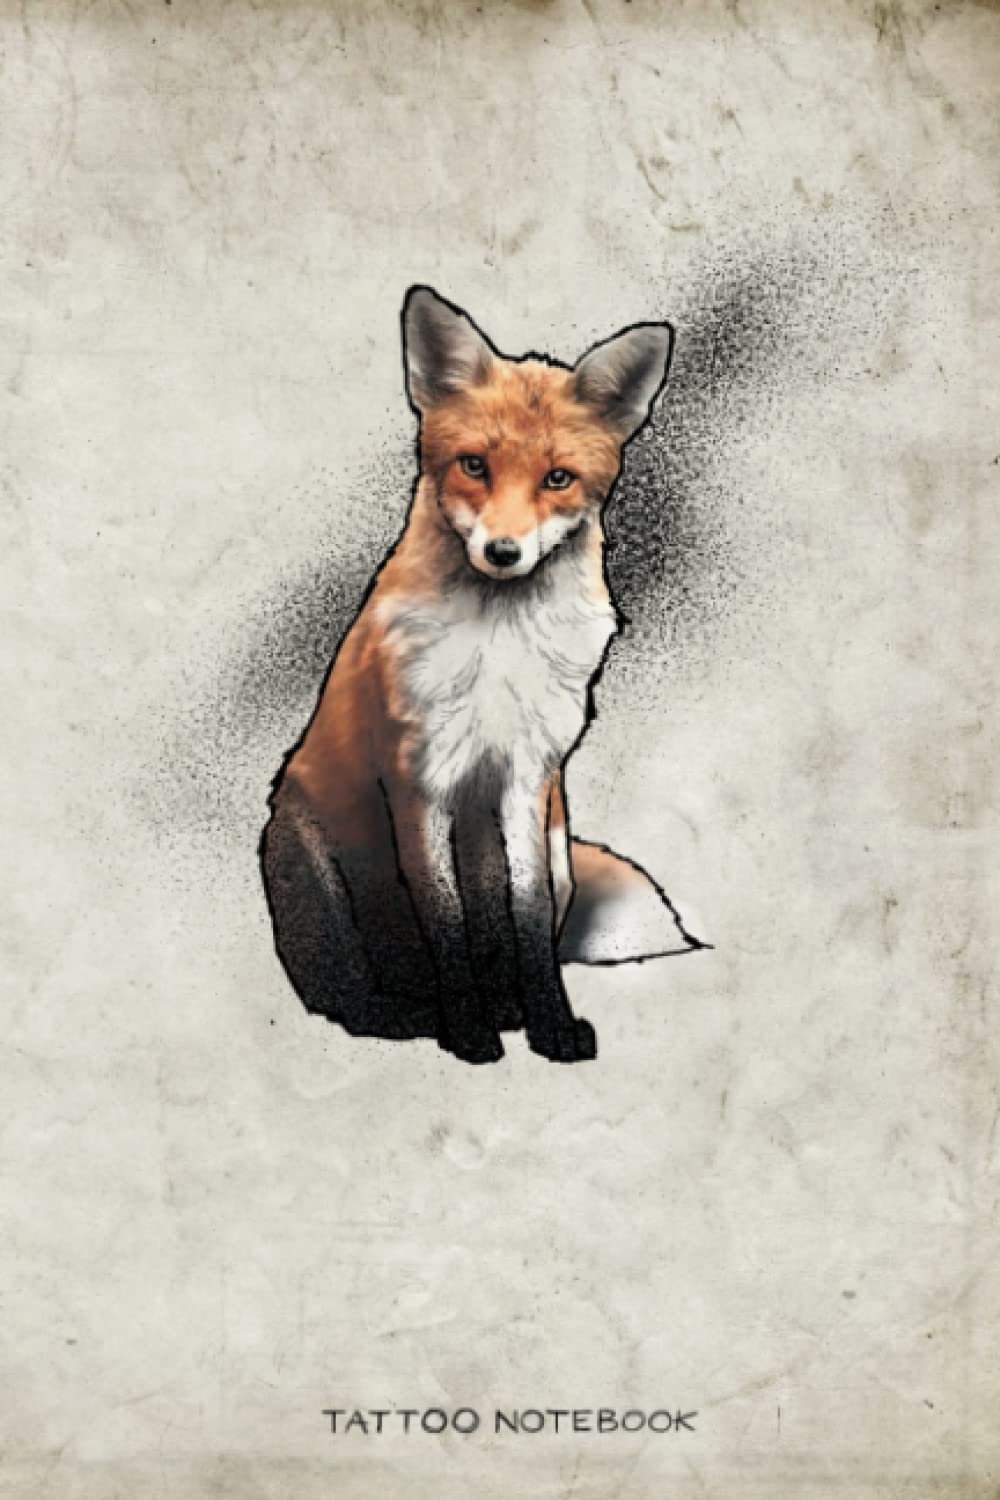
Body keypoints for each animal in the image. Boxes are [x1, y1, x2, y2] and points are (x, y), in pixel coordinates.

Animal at [260, 286, 704, 1065]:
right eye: (473, 466)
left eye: (557, 479)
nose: (502, 551)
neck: (500, 649)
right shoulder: (419, 779)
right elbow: (446, 922)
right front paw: (467, 1033)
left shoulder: (530, 779)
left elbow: (525, 920)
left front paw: (549, 1025)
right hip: (305, 853)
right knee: (341, 994)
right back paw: (407, 1015)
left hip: (559, 848)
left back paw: (505, 1008)